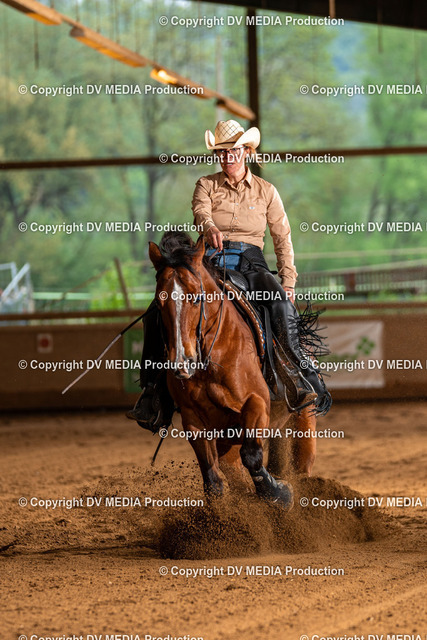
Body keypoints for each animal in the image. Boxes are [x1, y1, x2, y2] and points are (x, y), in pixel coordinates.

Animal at [148, 232, 317, 509]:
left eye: (196, 297)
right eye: (160, 302)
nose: (182, 363)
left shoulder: (257, 402)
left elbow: (252, 455)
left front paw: (280, 494)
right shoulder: (192, 419)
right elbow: (212, 479)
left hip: (302, 426)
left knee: (300, 466)